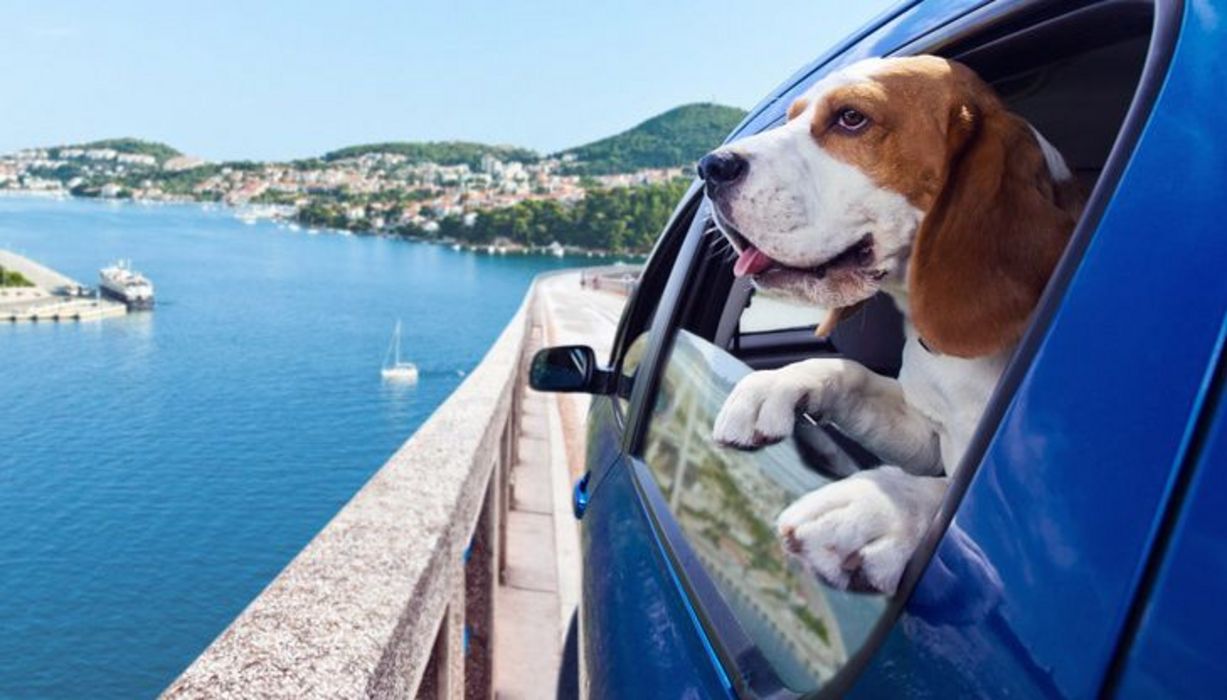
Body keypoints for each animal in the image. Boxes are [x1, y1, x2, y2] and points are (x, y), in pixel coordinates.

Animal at [701, 57, 1084, 594]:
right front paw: (774, 385)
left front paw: (881, 507)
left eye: (851, 119)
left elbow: (946, 498)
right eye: (794, 116)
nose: (710, 167)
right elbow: (849, 372)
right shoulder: (925, 435)